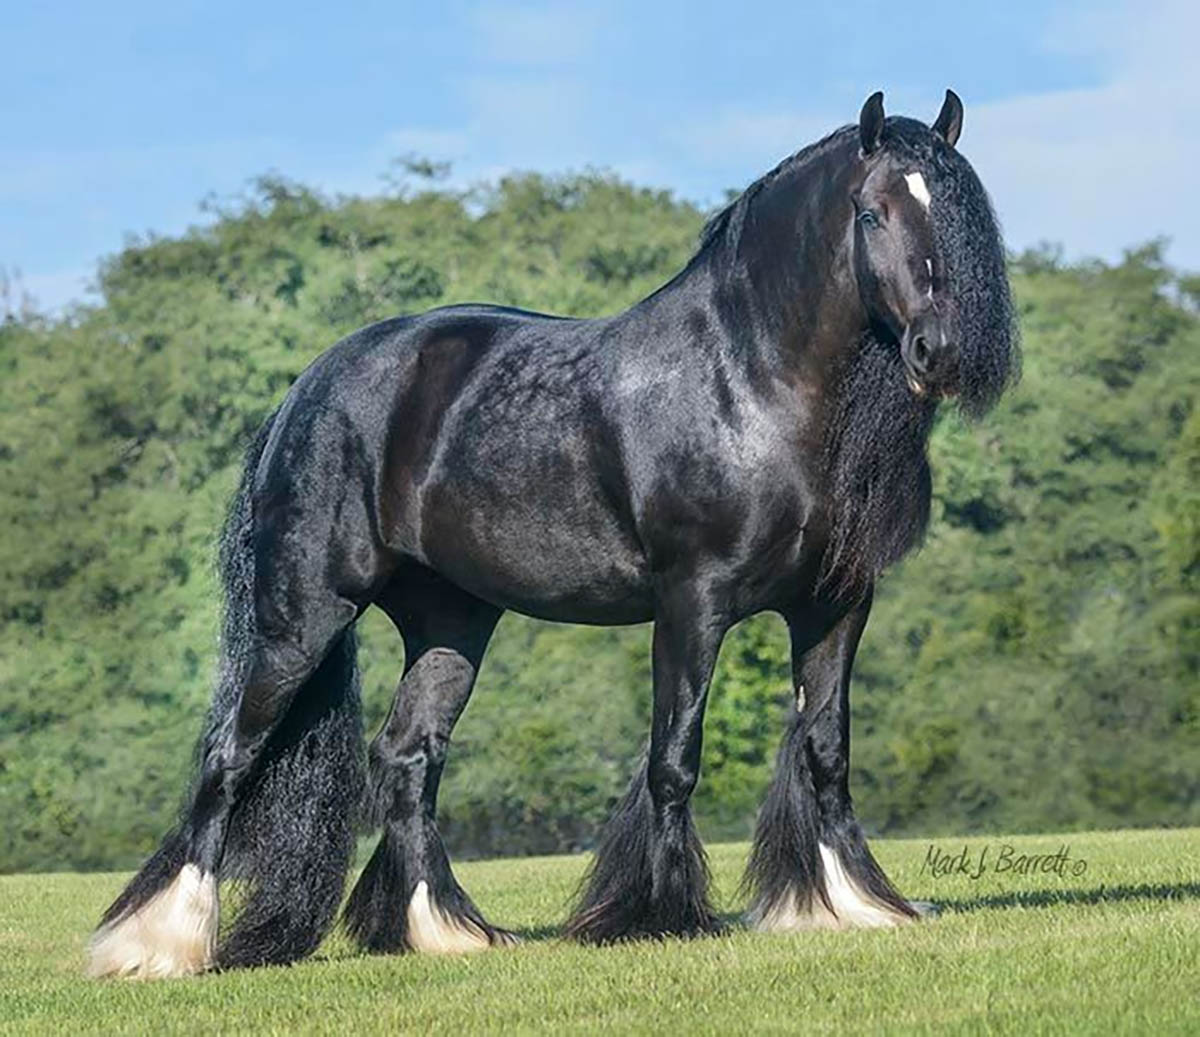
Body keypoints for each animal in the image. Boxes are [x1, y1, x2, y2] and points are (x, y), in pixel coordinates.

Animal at [88, 87, 1017, 969]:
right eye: (872, 211)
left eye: (954, 209)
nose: (937, 349)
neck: (750, 383)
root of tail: (309, 385)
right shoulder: (694, 601)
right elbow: (674, 756)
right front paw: (659, 913)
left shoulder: (835, 605)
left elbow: (825, 747)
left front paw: (848, 903)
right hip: (303, 616)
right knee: (231, 755)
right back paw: (158, 943)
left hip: (450, 624)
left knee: (407, 758)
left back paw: (442, 931)